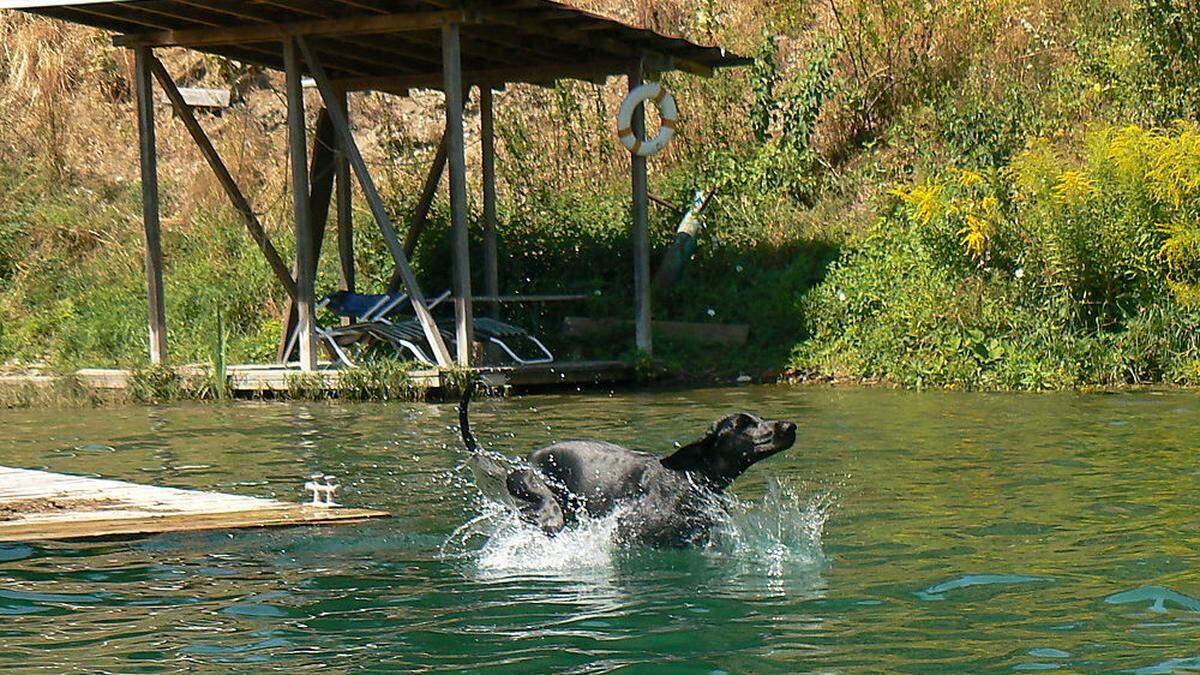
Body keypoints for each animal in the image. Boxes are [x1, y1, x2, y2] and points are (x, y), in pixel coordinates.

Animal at [458, 379, 796, 547]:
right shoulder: (628, 526)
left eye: (759, 418)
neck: (690, 476)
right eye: (742, 424)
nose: (790, 426)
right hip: (540, 495)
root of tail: (523, 463)